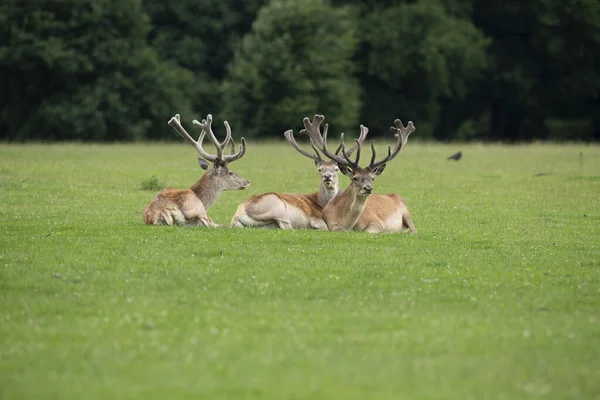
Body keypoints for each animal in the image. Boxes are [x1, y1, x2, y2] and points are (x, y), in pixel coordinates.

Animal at [229, 114, 364, 230]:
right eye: (320, 169)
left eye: (336, 169)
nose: (327, 176)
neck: (322, 204)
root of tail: (239, 212)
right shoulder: (316, 219)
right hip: (278, 207)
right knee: (287, 226)